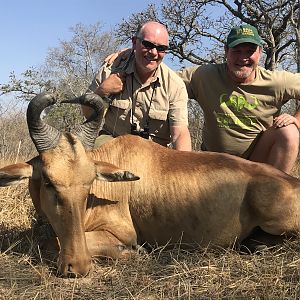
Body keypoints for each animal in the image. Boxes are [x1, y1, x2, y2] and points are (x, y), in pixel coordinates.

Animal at [0, 92, 300, 278]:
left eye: (89, 183)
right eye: (49, 181)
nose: (78, 267)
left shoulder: (122, 233)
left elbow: (51, 242)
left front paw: (137, 253)